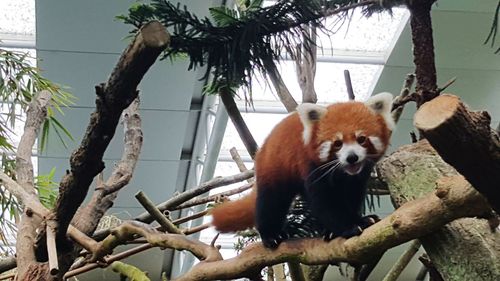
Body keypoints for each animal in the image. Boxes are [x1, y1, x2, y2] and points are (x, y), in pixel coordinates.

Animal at [211, 92, 394, 247]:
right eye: (338, 143)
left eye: (361, 139)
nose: (352, 157)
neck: (343, 173)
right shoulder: (311, 168)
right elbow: (325, 202)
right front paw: (349, 226)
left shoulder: (357, 178)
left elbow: (352, 196)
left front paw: (360, 220)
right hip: (274, 167)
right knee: (271, 201)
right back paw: (271, 235)